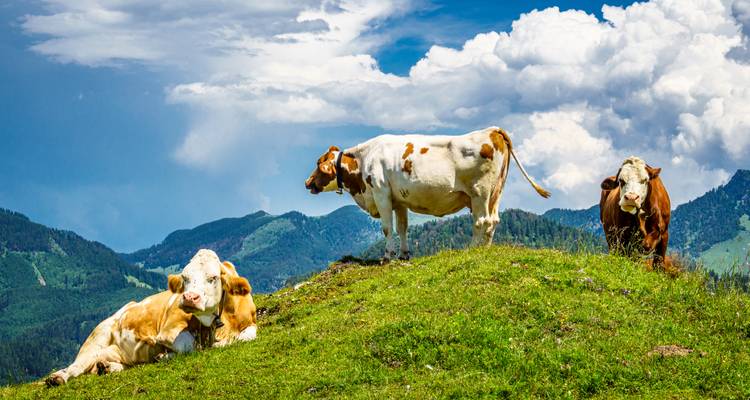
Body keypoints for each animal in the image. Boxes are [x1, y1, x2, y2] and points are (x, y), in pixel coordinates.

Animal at [45, 249, 257, 386]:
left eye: (213, 278)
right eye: (185, 278)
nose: (189, 298)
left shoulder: (250, 324)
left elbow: (247, 336)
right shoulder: (168, 331)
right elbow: (191, 345)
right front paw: (166, 355)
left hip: (119, 353)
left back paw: (106, 367)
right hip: (97, 337)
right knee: (77, 366)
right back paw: (57, 378)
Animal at [305, 126, 550, 260]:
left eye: (317, 163)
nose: (308, 182)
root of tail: (492, 130)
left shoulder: (381, 194)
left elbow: (387, 228)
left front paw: (387, 256)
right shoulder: (399, 200)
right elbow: (402, 228)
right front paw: (403, 254)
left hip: (479, 193)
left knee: (482, 221)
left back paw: (472, 249)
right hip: (495, 193)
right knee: (494, 220)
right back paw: (485, 249)